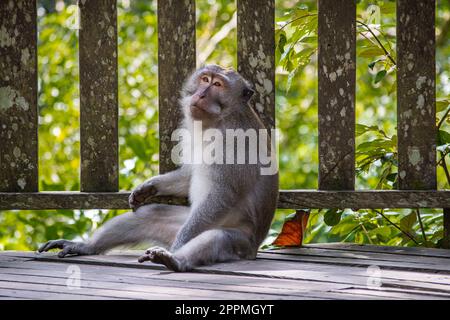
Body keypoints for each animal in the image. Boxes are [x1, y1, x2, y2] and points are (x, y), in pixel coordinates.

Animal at [37, 63, 278, 272]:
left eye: (218, 85)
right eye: (205, 80)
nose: (200, 95)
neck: (220, 119)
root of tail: (254, 249)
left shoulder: (236, 144)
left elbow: (223, 195)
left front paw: (179, 246)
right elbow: (189, 174)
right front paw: (148, 187)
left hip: (239, 243)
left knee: (214, 237)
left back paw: (175, 259)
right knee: (149, 215)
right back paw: (86, 246)